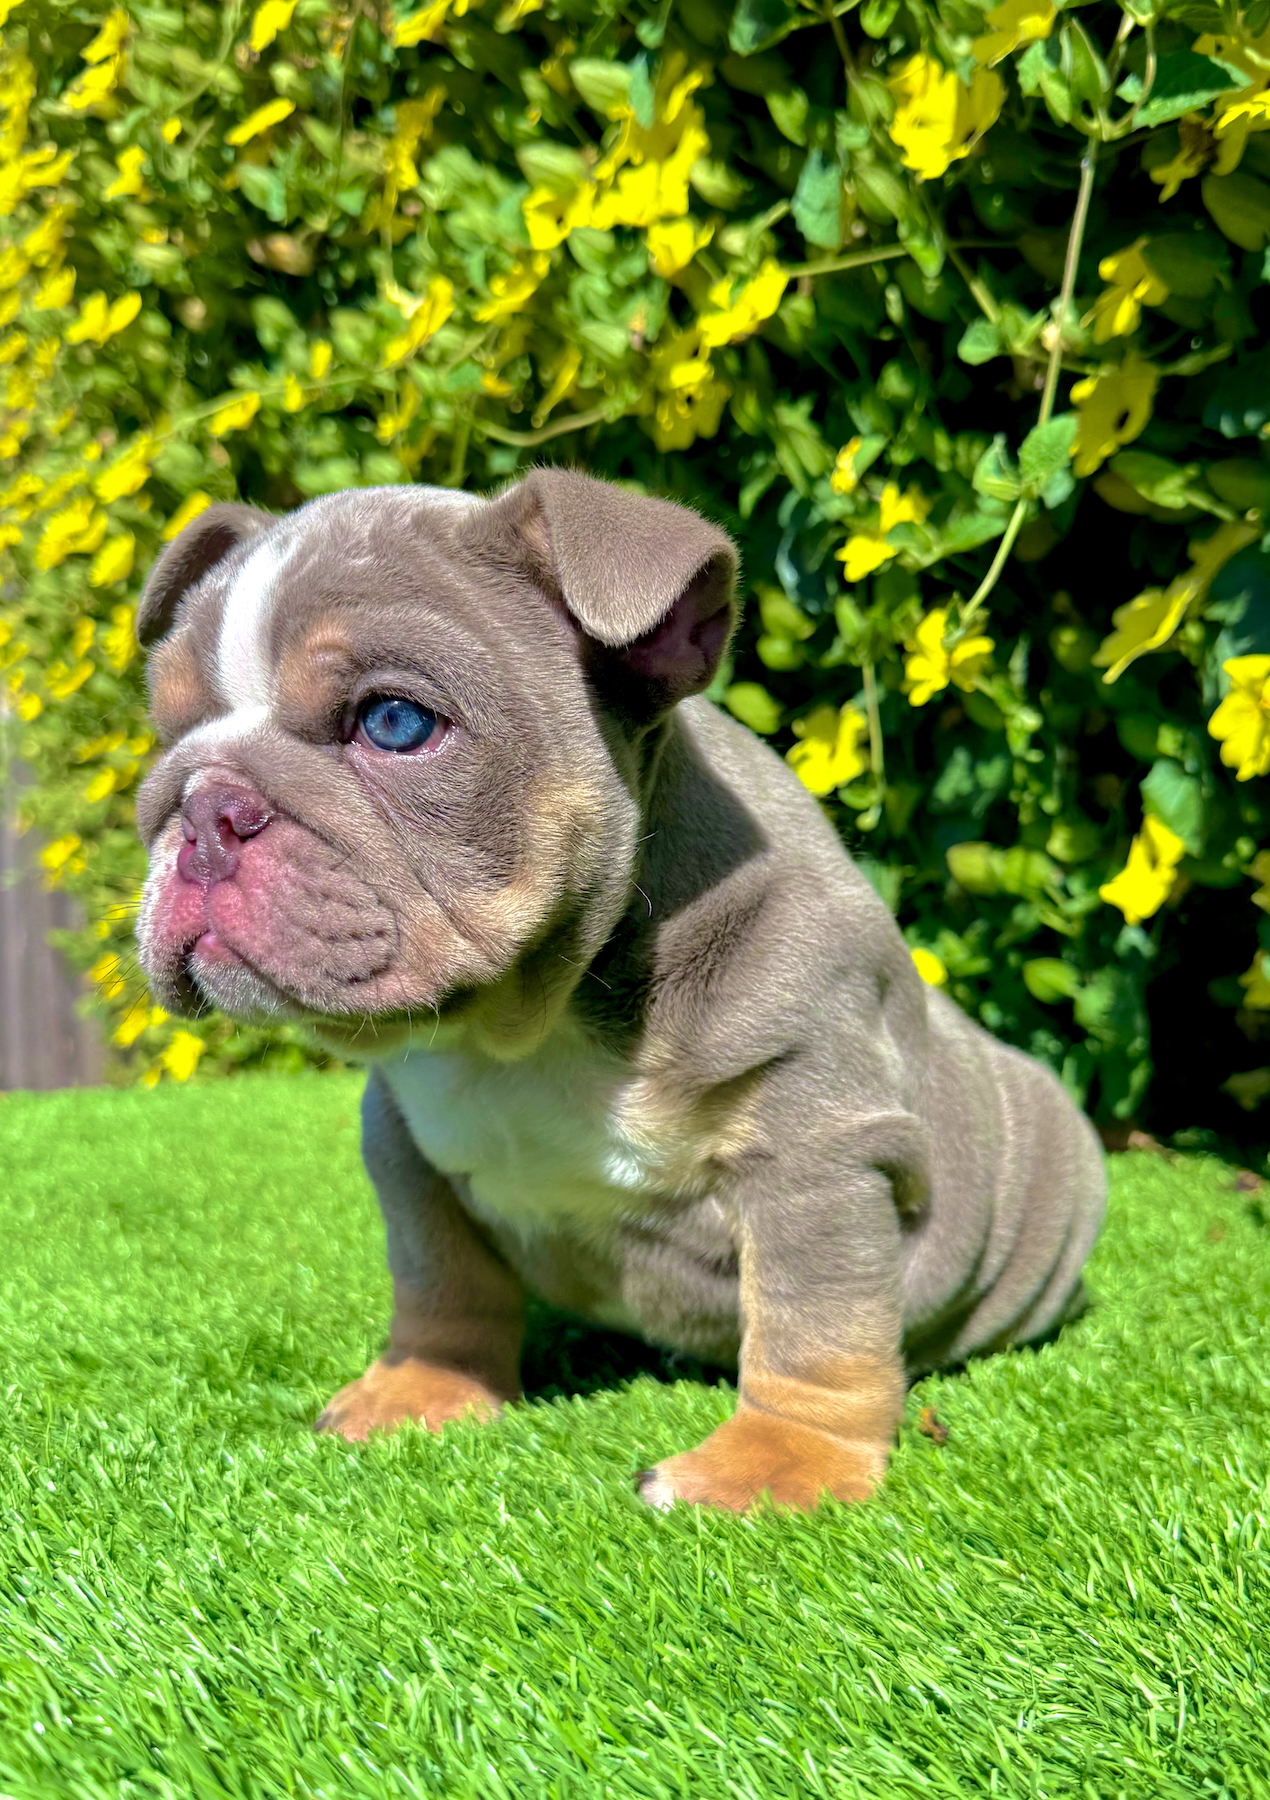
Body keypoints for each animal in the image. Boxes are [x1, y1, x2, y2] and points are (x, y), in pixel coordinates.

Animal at [134, 469, 1105, 1511]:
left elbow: (816, 1317)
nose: (202, 806)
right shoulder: (403, 1148)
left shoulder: (817, 1145)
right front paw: (425, 1387)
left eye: (395, 722)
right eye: (169, 733)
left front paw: (780, 1462)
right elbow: (439, 1278)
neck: (523, 1027)